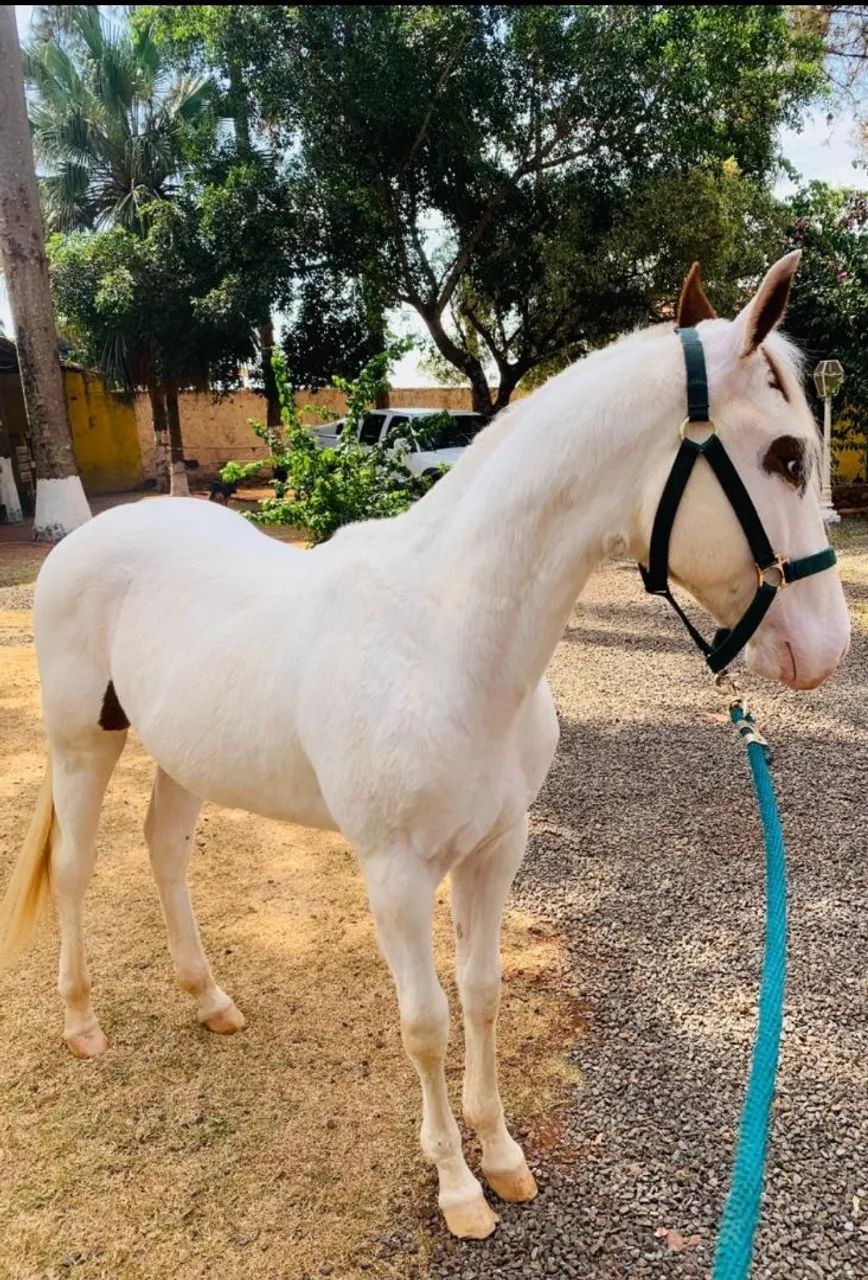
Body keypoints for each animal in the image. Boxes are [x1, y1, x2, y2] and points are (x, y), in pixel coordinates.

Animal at [0, 252, 850, 1240]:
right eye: (785, 455)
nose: (827, 648)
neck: (445, 638)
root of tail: (92, 536)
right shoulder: (395, 874)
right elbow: (425, 1022)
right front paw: (455, 1187)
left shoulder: (495, 852)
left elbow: (481, 994)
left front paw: (504, 1157)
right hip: (80, 746)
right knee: (75, 871)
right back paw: (81, 1024)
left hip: (184, 756)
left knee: (164, 851)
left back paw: (209, 1000)